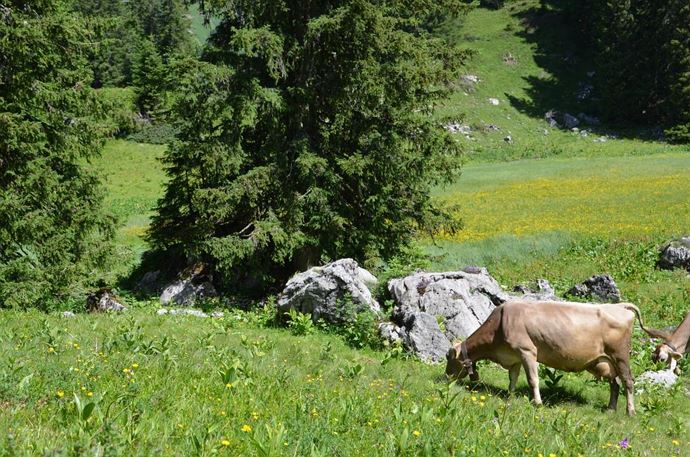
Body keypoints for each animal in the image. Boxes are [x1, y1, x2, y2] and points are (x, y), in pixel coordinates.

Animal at [444, 298, 660, 416]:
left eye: (448, 357)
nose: (446, 377)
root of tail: (620, 306)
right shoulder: (514, 356)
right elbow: (512, 378)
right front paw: (510, 397)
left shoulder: (527, 351)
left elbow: (532, 379)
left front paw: (537, 403)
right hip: (605, 361)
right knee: (615, 384)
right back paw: (610, 409)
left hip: (620, 355)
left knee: (628, 381)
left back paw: (630, 411)